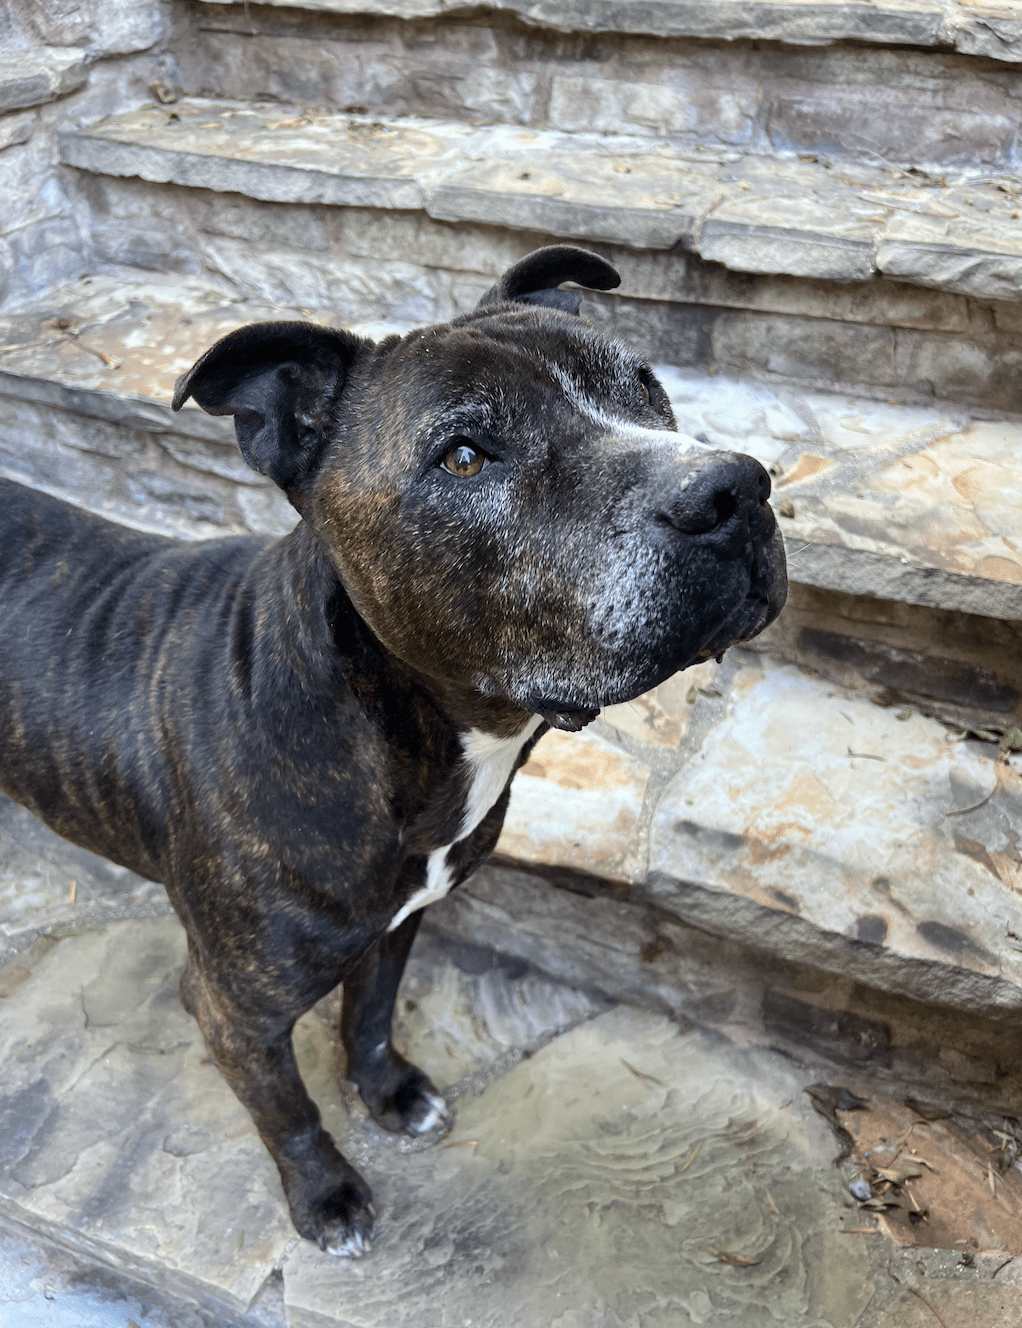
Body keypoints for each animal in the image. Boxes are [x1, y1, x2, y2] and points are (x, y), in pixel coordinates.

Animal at [0, 249, 785, 1253]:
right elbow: (286, 1109)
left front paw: (388, 1096)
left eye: (647, 390)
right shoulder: (230, 1008)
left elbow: (369, 1018)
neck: (389, 734)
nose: (732, 489)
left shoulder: (402, 921)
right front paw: (326, 1195)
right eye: (465, 456)